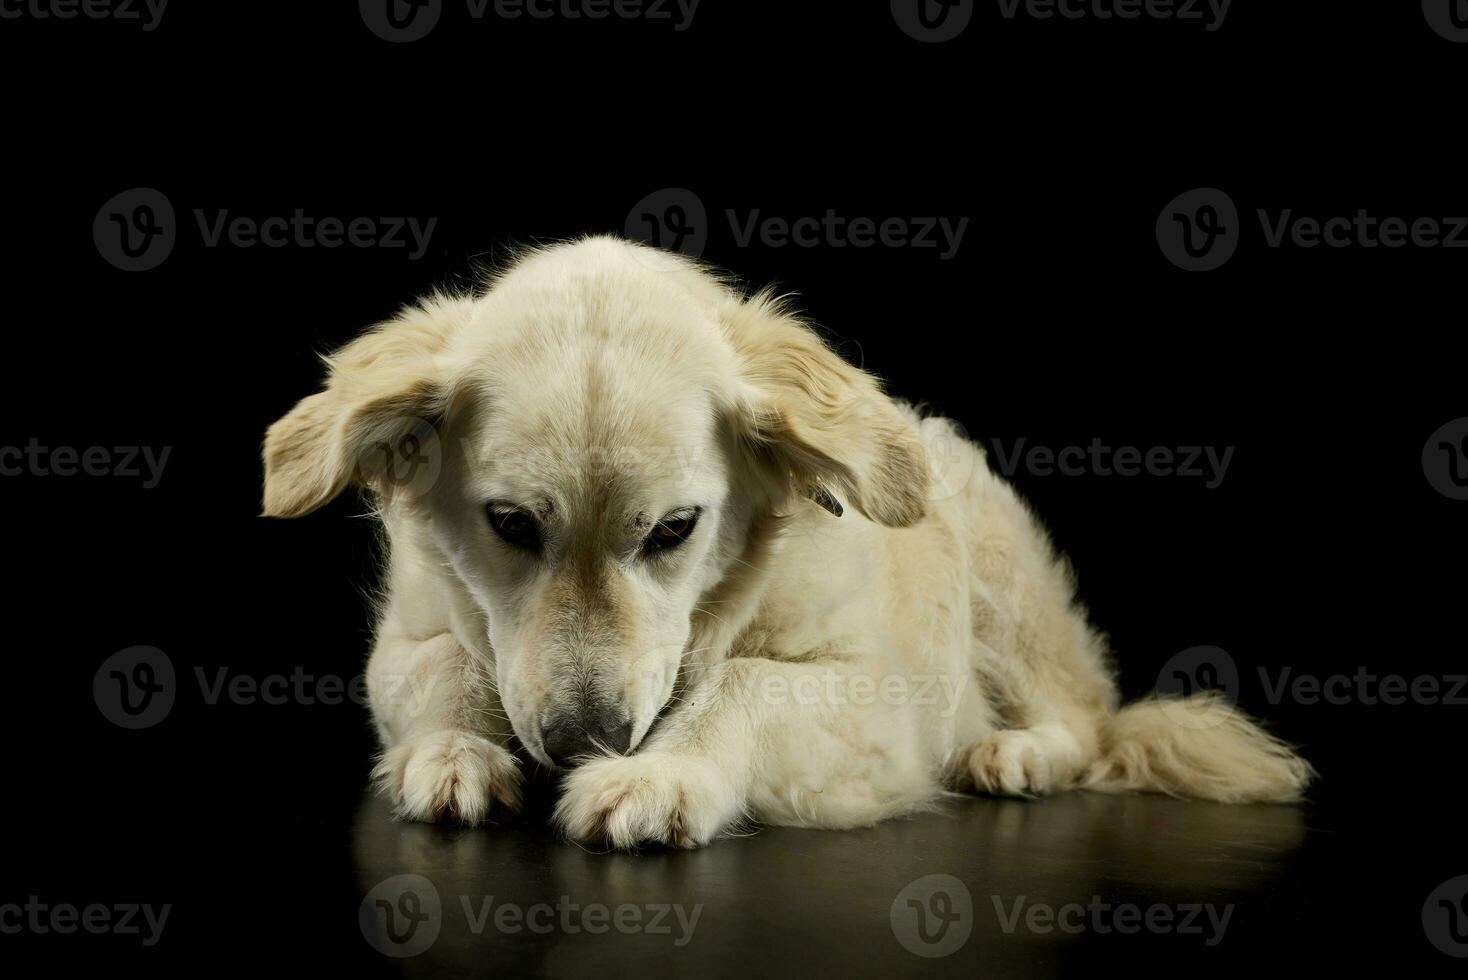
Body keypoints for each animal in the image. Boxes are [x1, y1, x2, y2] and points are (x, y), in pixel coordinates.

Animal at [258, 233, 1315, 845]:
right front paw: (452, 754)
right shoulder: (412, 638)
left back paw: (1008, 755)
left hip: (994, 576)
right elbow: (449, 668)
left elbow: (745, 685)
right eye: (511, 525)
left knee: (1086, 722)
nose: (581, 743)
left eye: (675, 529)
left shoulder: (874, 706)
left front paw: (661, 772)